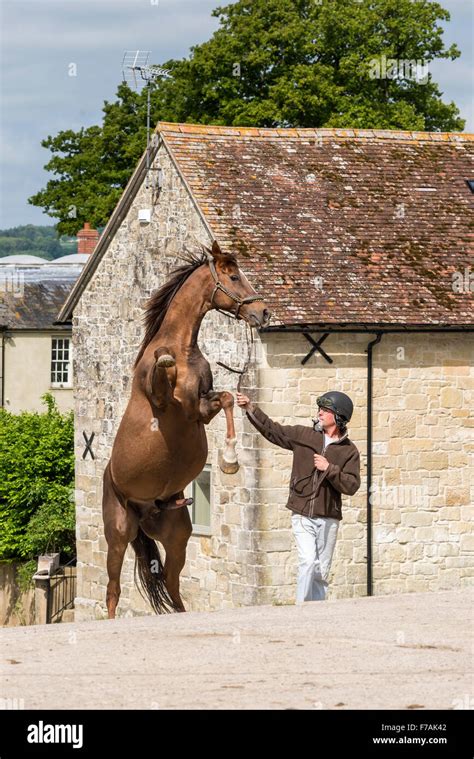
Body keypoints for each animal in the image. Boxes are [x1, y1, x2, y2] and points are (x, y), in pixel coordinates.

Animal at [102, 242, 270, 616]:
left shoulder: (200, 411)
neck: (182, 347)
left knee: (172, 584)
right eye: (234, 277)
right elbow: (164, 379)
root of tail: (148, 510)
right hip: (118, 534)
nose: (263, 313)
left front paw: (230, 459)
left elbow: (227, 399)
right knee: (113, 591)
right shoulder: (167, 404)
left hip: (176, 537)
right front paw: (164, 363)